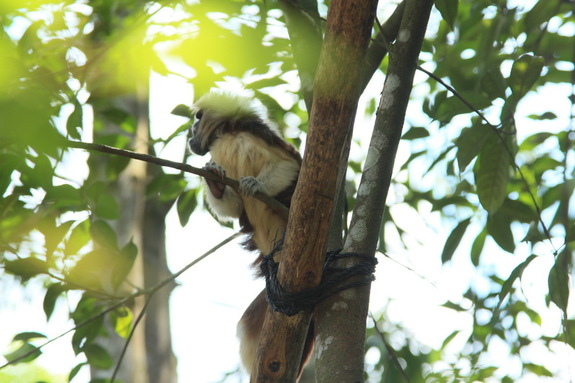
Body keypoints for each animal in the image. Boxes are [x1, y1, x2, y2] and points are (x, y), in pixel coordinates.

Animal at [190, 90, 312, 378]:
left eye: (195, 125)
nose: (189, 136)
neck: (226, 133)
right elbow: (232, 207)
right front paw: (215, 183)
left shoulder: (255, 134)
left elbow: (288, 166)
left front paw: (256, 185)